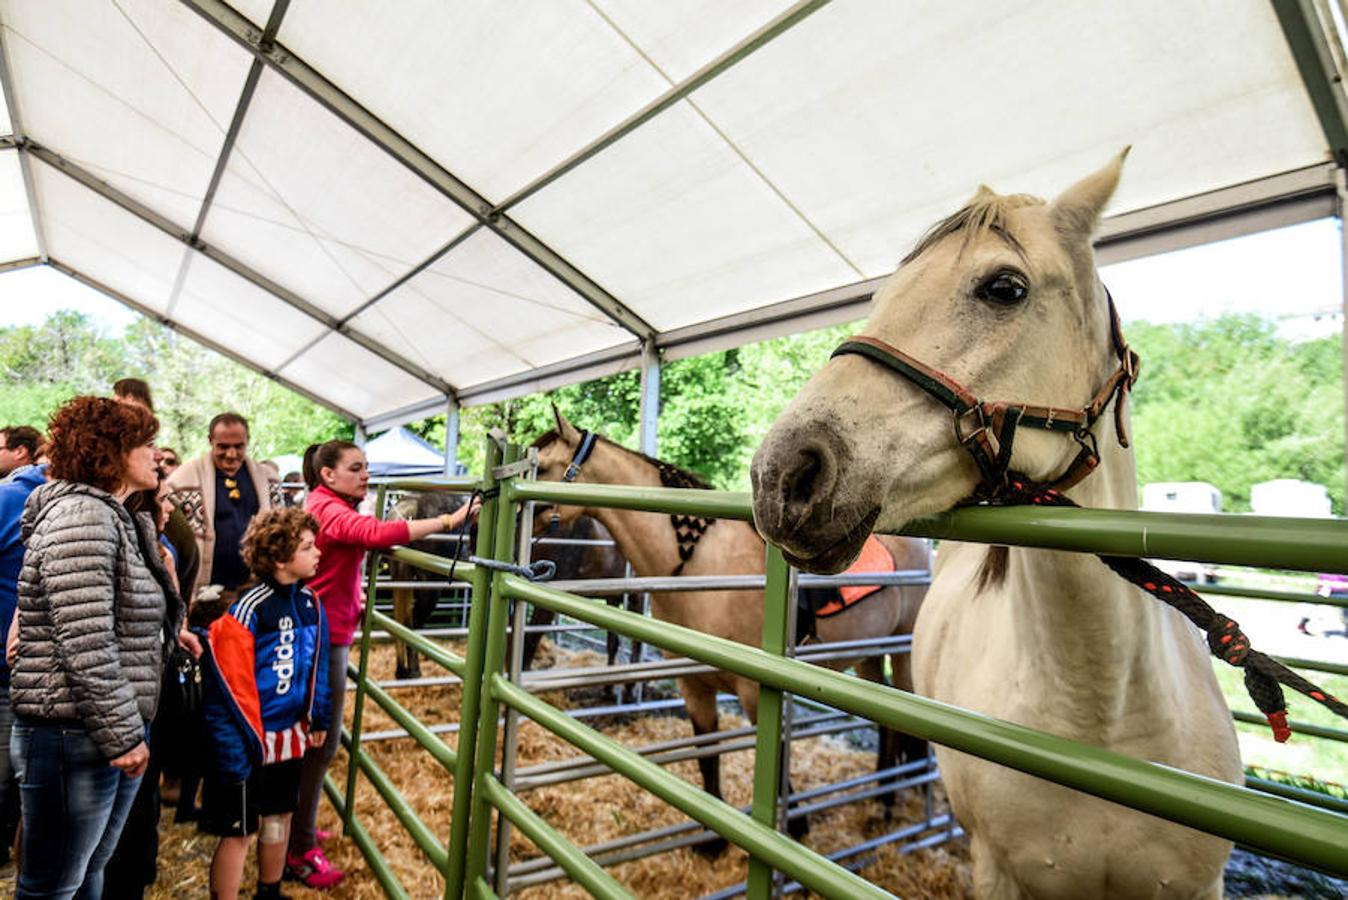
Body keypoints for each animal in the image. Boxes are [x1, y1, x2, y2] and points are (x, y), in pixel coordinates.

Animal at [531, 409, 932, 846]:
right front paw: (713, 839)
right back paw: (881, 798)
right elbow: (708, 755)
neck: (701, 567)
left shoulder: (757, 692)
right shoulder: (694, 686)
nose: (498, 513)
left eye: (543, 467)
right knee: (888, 725)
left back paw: (894, 802)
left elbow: (774, 759)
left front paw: (794, 826)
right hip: (870, 656)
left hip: (902, 653)